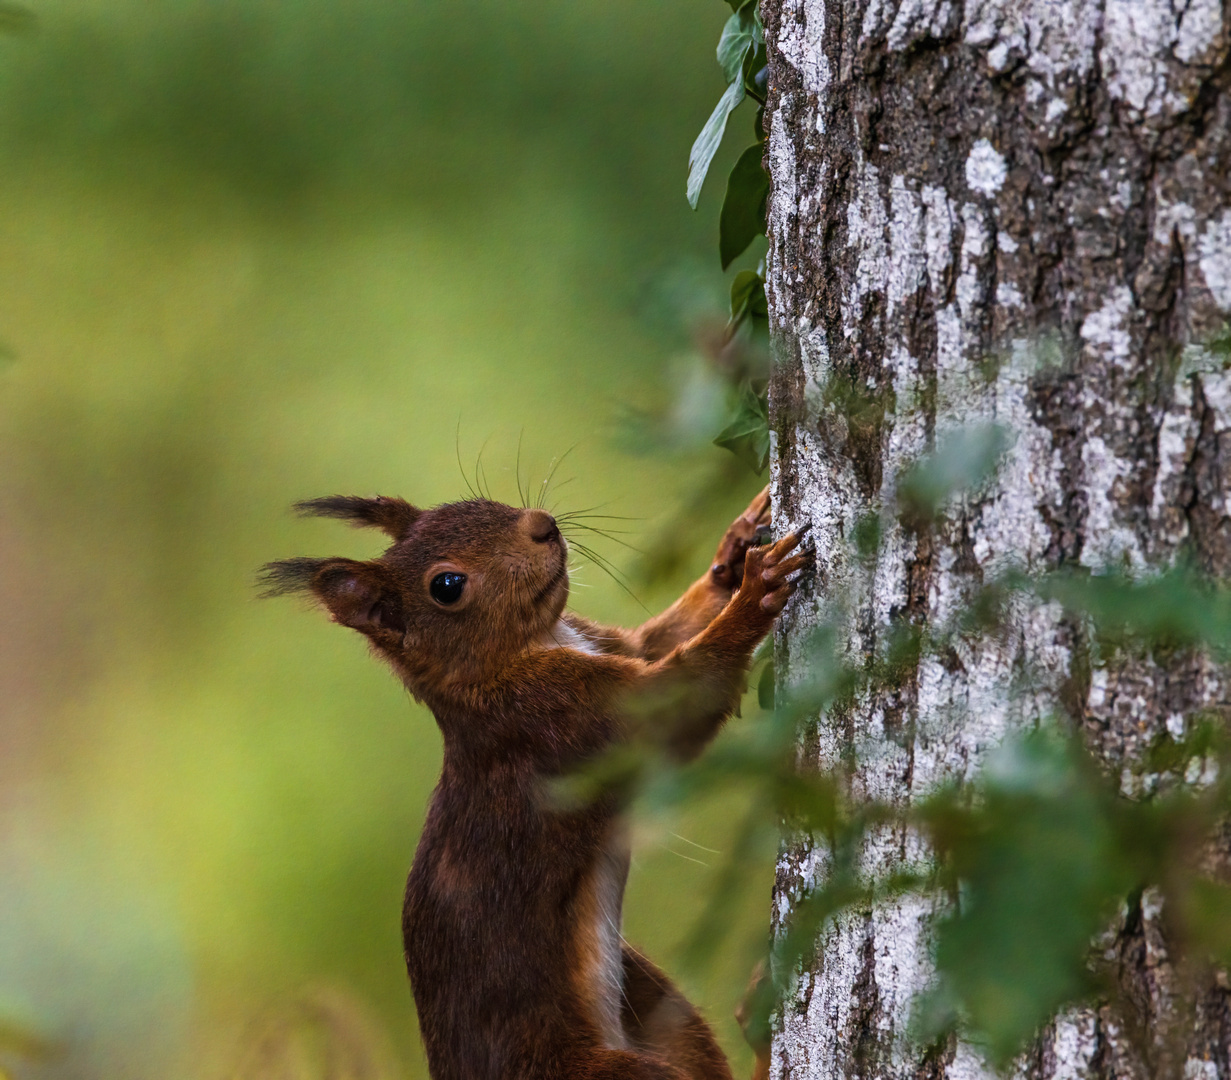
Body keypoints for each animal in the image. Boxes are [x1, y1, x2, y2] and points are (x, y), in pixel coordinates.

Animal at [262, 487, 807, 1078]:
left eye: (472, 501)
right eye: (446, 586)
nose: (543, 525)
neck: (512, 660)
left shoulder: (606, 645)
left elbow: (658, 639)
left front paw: (737, 547)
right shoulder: (564, 718)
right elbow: (676, 698)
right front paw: (756, 591)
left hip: (657, 1006)